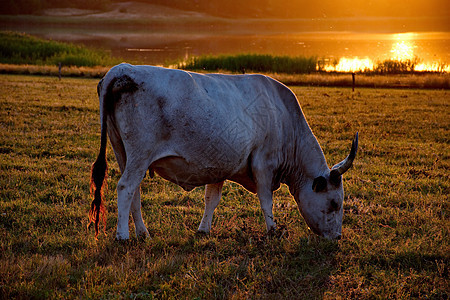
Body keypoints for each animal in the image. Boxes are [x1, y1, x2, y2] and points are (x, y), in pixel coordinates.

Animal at [89, 62, 358, 239]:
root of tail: (121, 69)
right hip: (139, 155)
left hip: (123, 153)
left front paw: (203, 230)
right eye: (335, 203)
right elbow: (266, 200)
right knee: (125, 188)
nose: (337, 237)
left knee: (134, 192)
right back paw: (123, 236)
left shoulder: (218, 166)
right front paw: (273, 230)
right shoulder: (263, 164)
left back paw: (143, 232)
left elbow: (212, 199)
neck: (283, 117)